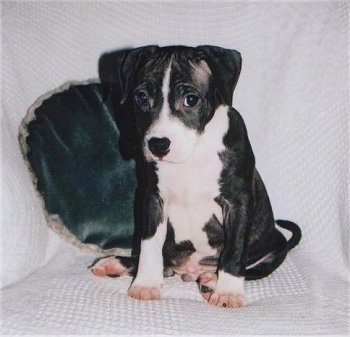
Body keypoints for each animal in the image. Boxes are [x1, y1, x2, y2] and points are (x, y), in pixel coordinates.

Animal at [90, 44, 300, 308]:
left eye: (191, 99)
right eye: (141, 97)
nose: (158, 144)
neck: (194, 151)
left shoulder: (238, 203)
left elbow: (234, 251)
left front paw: (229, 292)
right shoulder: (153, 199)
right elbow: (149, 245)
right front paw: (146, 283)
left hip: (274, 250)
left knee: (252, 267)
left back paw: (211, 279)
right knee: (161, 260)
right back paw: (116, 263)